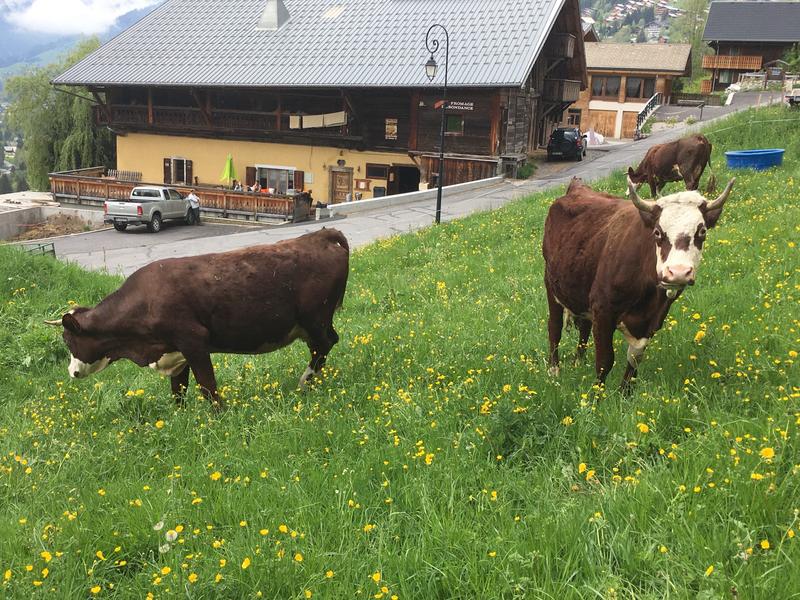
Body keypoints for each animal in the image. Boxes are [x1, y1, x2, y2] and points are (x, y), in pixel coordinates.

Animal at [46, 228, 350, 409]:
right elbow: (178, 390)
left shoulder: (193, 342)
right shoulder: (174, 352)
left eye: (68, 341)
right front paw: (178, 418)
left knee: (323, 346)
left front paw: (218, 415)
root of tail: (320, 235)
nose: (71, 372)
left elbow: (207, 386)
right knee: (324, 345)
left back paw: (305, 382)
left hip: (315, 319)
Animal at [542, 175, 734, 390]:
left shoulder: (653, 319)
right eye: (658, 232)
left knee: (583, 325)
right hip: (551, 284)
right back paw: (554, 370)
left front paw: (624, 393)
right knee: (554, 327)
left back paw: (578, 362)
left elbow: (634, 359)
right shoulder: (603, 309)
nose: (678, 272)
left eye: (702, 231)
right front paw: (595, 397)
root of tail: (578, 187)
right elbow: (605, 361)